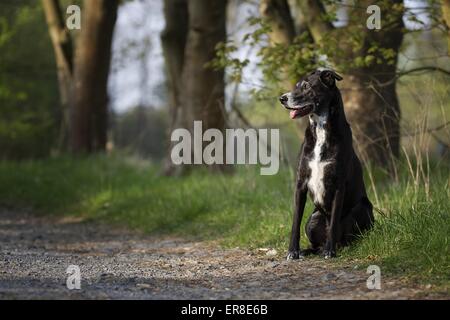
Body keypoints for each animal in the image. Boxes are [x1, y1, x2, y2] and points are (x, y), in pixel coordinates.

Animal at [280, 68, 374, 260]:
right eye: (296, 86)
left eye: (307, 86)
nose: (282, 98)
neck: (320, 129)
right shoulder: (300, 184)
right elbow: (295, 222)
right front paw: (293, 251)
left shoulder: (338, 185)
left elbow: (334, 223)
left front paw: (330, 252)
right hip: (313, 218)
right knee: (316, 243)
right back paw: (308, 250)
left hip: (362, 208)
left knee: (346, 235)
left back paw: (336, 247)